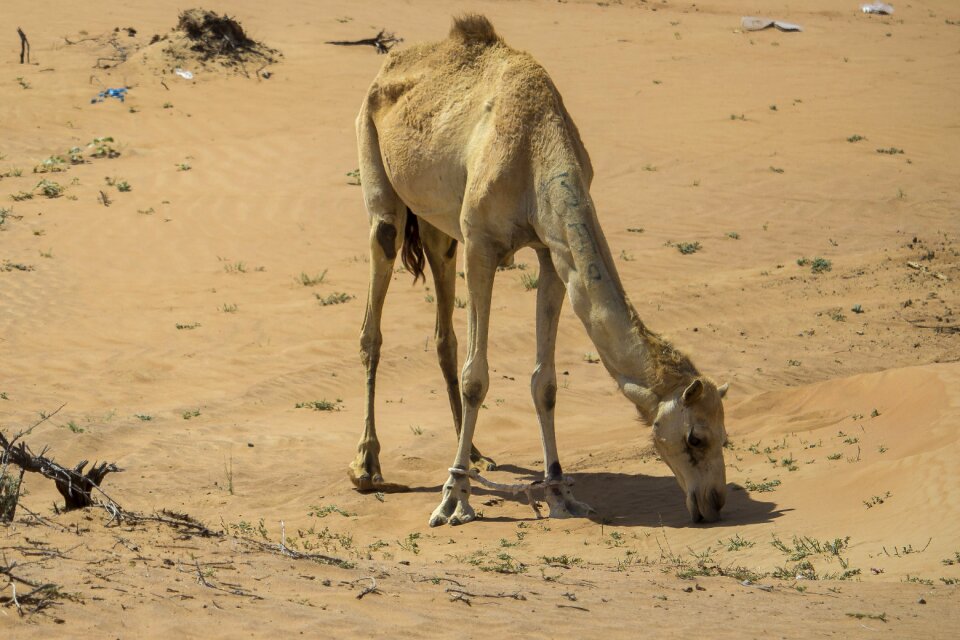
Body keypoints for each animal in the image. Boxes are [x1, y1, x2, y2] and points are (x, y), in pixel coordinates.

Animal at [348, 15, 732, 524]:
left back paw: (473, 455)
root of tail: (385, 69)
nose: (715, 502)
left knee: (444, 331)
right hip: (378, 177)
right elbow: (476, 378)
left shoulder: (552, 252)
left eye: (724, 435)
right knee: (374, 315)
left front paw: (559, 493)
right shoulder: (481, 244)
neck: (535, 147)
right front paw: (454, 500)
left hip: (439, 228)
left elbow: (544, 383)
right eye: (696, 437)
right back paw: (368, 467)